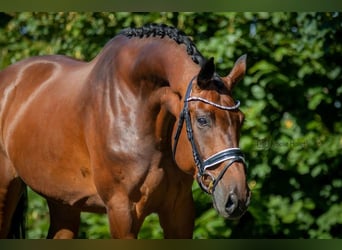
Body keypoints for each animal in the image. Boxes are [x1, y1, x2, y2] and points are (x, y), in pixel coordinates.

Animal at [0, 23, 251, 238]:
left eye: (241, 119)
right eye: (202, 120)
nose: (236, 198)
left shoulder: (179, 210)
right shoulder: (122, 211)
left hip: (63, 203)